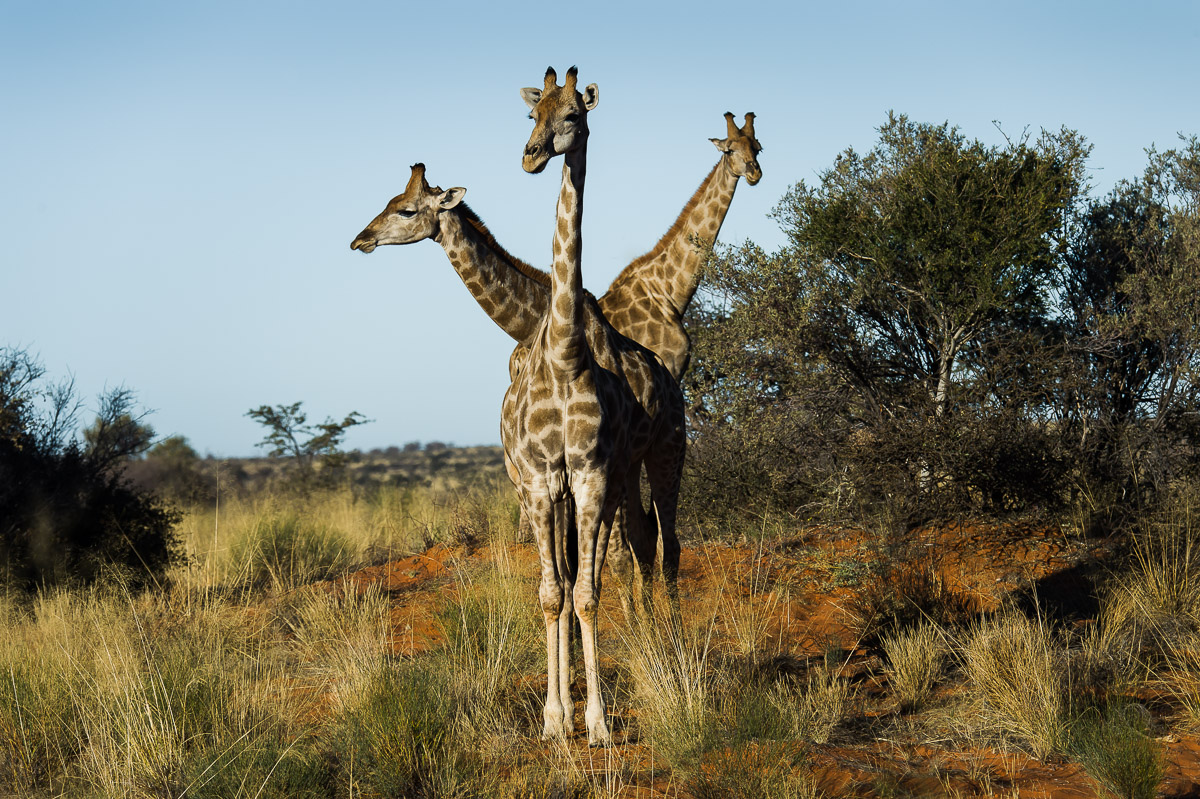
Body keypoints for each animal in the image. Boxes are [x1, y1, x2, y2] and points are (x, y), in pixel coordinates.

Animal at [505, 66, 685, 744]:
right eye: (530, 115)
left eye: (573, 117)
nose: (530, 156)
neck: (564, 353)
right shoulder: (539, 479)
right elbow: (553, 594)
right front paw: (555, 719)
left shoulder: (589, 474)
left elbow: (585, 593)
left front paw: (598, 722)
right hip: (560, 490)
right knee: (567, 576)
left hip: (656, 461)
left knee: (660, 548)